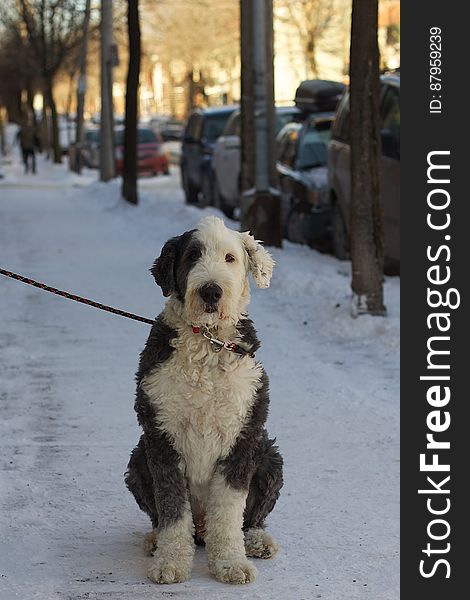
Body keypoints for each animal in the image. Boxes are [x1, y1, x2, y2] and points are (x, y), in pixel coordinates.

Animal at [125, 217, 282, 584]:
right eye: (192, 256)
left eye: (230, 258)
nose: (211, 291)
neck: (208, 340)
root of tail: (200, 531)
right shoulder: (161, 437)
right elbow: (171, 509)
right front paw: (170, 562)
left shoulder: (242, 438)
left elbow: (228, 512)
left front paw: (231, 564)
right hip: (138, 460)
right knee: (163, 517)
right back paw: (155, 540)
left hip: (269, 456)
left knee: (250, 518)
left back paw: (257, 541)